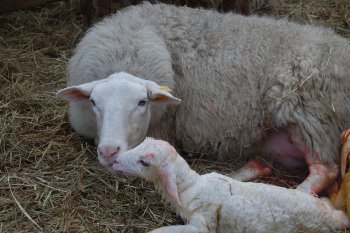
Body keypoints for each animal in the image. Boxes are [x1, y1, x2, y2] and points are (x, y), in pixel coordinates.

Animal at [112, 137, 350, 232]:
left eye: (145, 162)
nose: (114, 161)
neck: (192, 187)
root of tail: (337, 218)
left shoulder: (202, 225)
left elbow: (158, 231)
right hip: (317, 197)